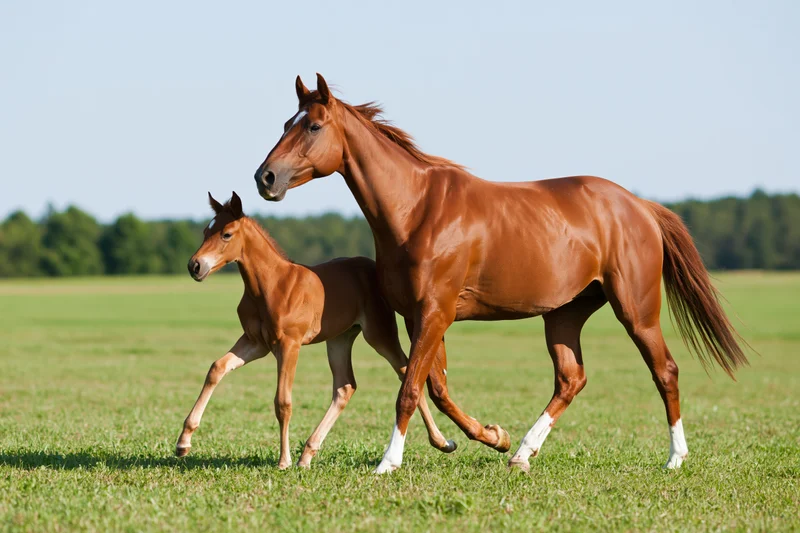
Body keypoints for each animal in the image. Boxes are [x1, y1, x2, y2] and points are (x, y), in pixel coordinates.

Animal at [175, 192, 456, 469]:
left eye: (226, 234)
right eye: (205, 231)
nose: (194, 266)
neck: (271, 285)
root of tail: (374, 268)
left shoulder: (289, 344)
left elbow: (282, 401)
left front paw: (284, 460)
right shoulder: (255, 342)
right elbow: (216, 368)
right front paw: (183, 442)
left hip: (379, 334)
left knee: (406, 372)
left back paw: (441, 442)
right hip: (340, 338)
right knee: (345, 387)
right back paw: (308, 454)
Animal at [253, 74, 749, 474]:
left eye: (313, 126)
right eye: (285, 123)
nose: (265, 178)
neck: (418, 210)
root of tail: (640, 206)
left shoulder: (435, 313)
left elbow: (410, 390)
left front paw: (388, 463)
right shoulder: (420, 317)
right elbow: (437, 388)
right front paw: (493, 436)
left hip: (636, 311)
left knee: (665, 371)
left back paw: (675, 458)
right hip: (564, 315)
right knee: (571, 379)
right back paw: (522, 454)